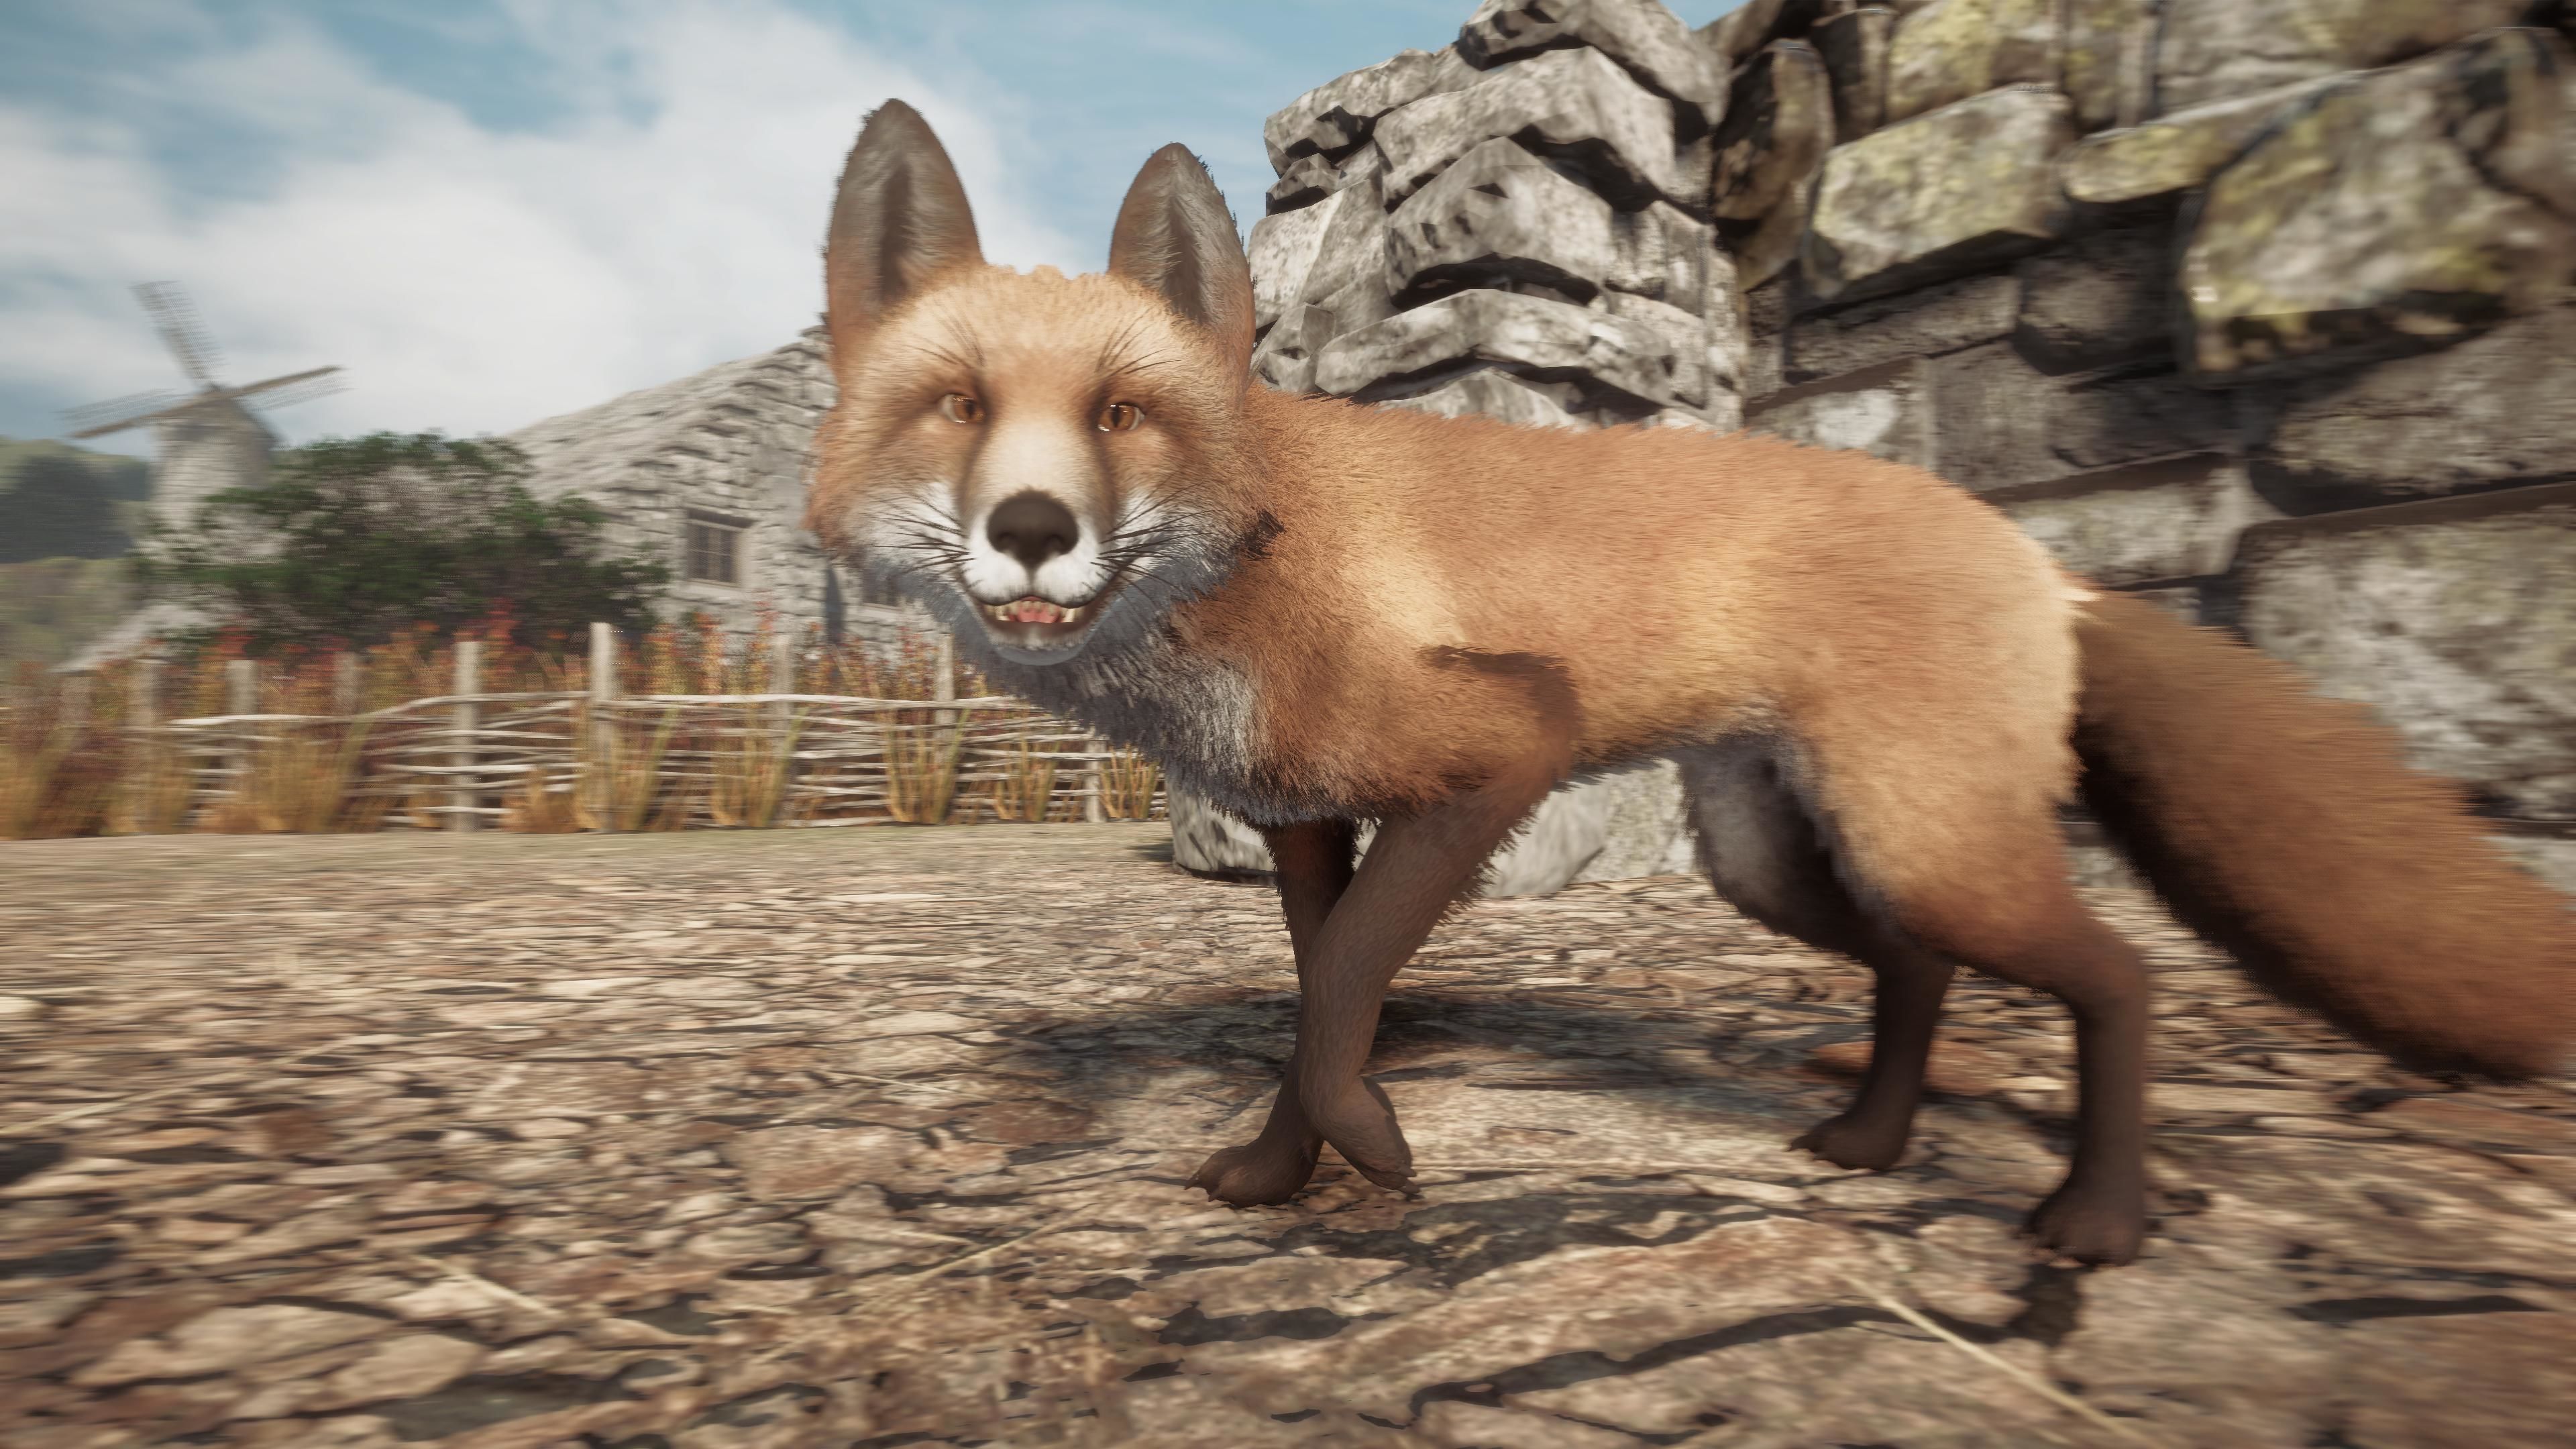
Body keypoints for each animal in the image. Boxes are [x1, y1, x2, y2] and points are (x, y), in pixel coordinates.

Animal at [803, 101, 2574, 1266]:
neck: (1262, 557)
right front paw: (1278, 1172)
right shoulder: (1309, 820)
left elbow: (1341, 993)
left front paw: (1370, 1152)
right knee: (1913, 971)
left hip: (1923, 844)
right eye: (958, 406)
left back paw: (2095, 1216)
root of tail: (2030, 552)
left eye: (1123, 414)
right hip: (1780, 860)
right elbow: (1322, 993)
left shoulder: (1495, 752)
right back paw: (1872, 1142)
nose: (1033, 530)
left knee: (2118, 979)